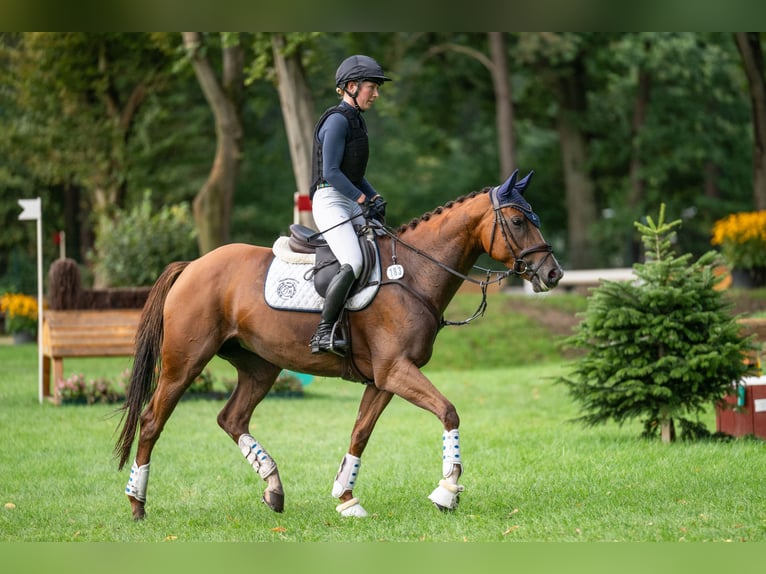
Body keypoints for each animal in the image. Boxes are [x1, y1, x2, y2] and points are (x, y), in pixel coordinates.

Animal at [114, 169, 563, 520]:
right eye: (518, 222)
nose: (553, 274)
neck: (412, 273)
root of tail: (193, 265)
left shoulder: (382, 380)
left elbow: (359, 433)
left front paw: (347, 499)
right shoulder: (396, 371)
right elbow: (448, 412)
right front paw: (447, 491)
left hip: (261, 366)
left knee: (232, 418)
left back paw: (273, 488)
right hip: (185, 362)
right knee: (152, 421)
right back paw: (137, 503)